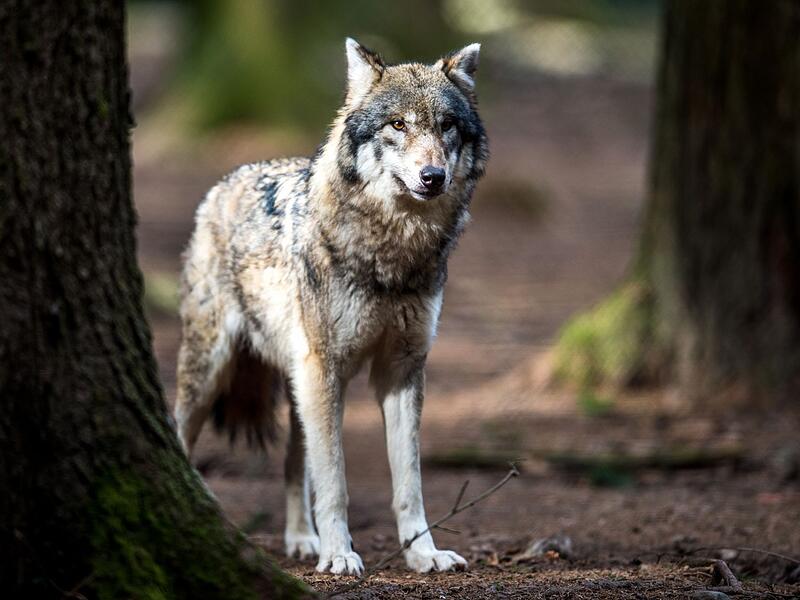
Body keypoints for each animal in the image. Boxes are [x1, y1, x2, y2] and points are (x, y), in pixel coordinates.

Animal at [174, 38, 488, 576]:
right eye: (397, 125)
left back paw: (303, 539)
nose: (433, 177)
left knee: (292, 463)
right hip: (215, 372)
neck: (391, 254)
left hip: (300, 383)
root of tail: (227, 180)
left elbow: (409, 483)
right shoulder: (326, 369)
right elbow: (335, 481)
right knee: (179, 435)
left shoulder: (402, 370)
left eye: (447, 125)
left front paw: (422, 553)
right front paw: (341, 554)